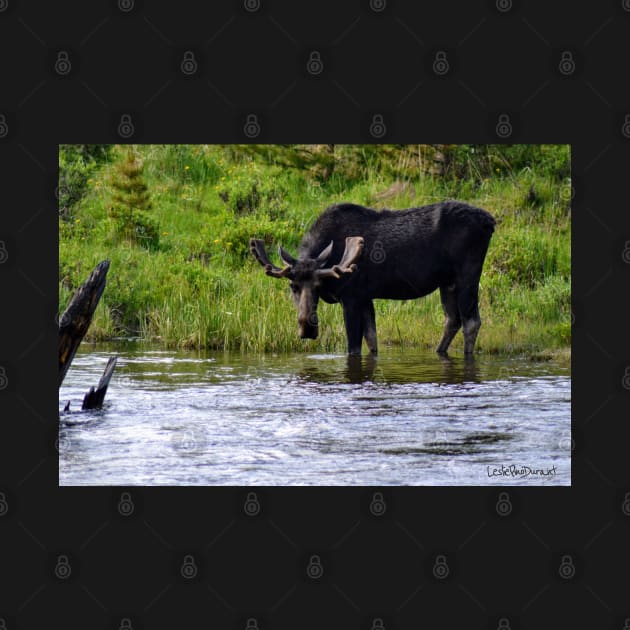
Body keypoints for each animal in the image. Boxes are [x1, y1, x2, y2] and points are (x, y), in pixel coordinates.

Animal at [249, 204, 496, 358]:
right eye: (293, 286)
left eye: (318, 286)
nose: (308, 327)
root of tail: (490, 222)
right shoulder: (366, 297)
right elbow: (372, 340)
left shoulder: (352, 297)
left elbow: (354, 347)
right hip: (447, 282)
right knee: (452, 319)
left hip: (467, 275)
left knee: (471, 321)